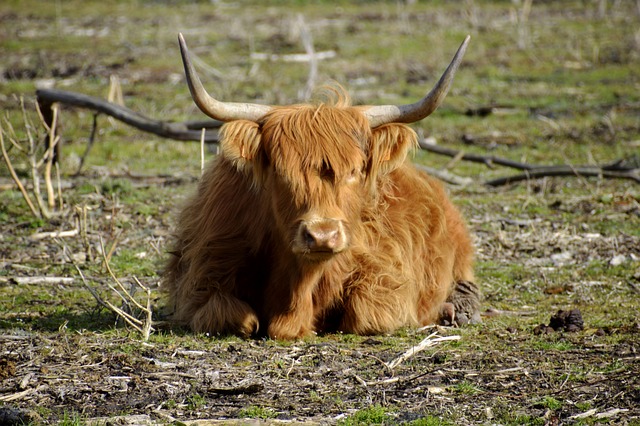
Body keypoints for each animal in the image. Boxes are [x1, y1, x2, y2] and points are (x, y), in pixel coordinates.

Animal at [165, 33, 480, 340]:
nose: (322, 236)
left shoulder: (388, 277)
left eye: (354, 170)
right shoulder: (202, 278)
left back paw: (458, 308)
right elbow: (230, 314)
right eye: (280, 171)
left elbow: (364, 314)